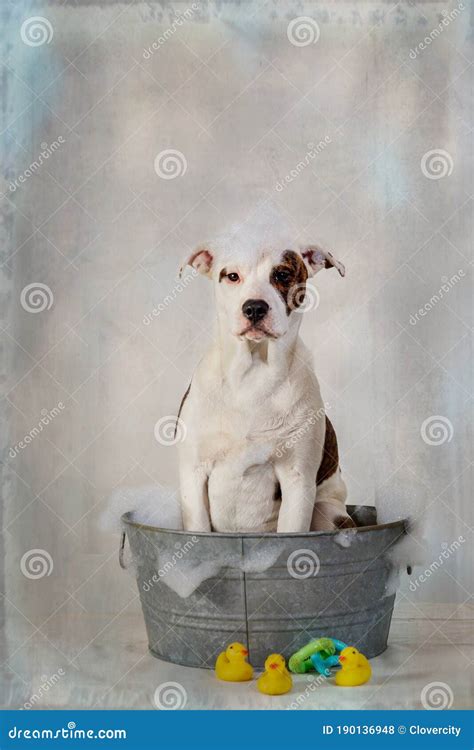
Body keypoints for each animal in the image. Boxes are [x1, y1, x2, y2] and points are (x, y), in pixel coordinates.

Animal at [176, 241, 354, 536]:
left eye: (282, 275)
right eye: (232, 276)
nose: (255, 308)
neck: (252, 375)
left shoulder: (297, 479)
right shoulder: (194, 474)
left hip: (329, 513)